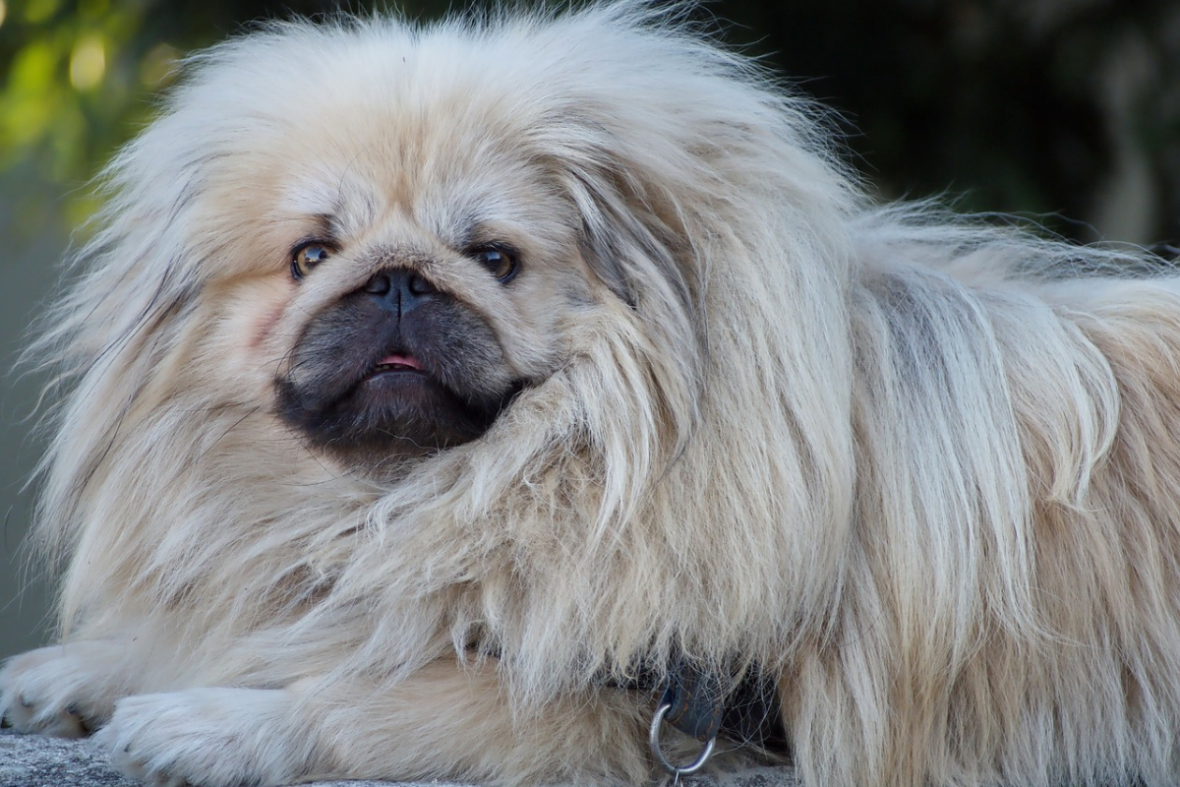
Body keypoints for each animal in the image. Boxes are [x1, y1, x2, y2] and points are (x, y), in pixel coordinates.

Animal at [2, 1, 1180, 787]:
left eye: (493, 257)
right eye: (310, 257)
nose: (397, 280)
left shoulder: (663, 717)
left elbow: (381, 698)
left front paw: (212, 722)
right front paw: (70, 676)